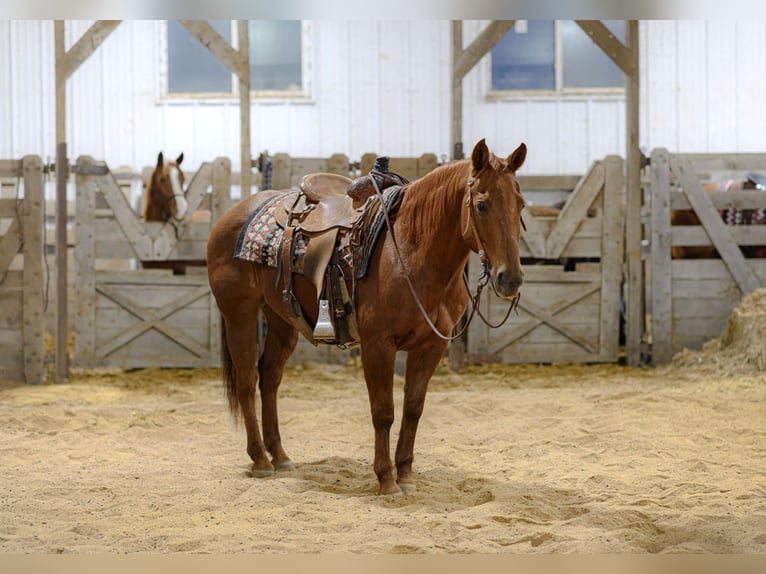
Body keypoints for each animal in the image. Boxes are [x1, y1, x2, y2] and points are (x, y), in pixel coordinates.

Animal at [206, 138, 527, 495]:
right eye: (482, 205)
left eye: (521, 204)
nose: (510, 279)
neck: (411, 252)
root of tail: (234, 213)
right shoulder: (378, 345)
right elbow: (383, 411)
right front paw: (386, 479)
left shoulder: (431, 346)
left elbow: (413, 408)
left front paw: (406, 475)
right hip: (239, 314)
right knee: (247, 380)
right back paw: (260, 460)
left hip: (281, 319)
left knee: (269, 377)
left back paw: (280, 455)